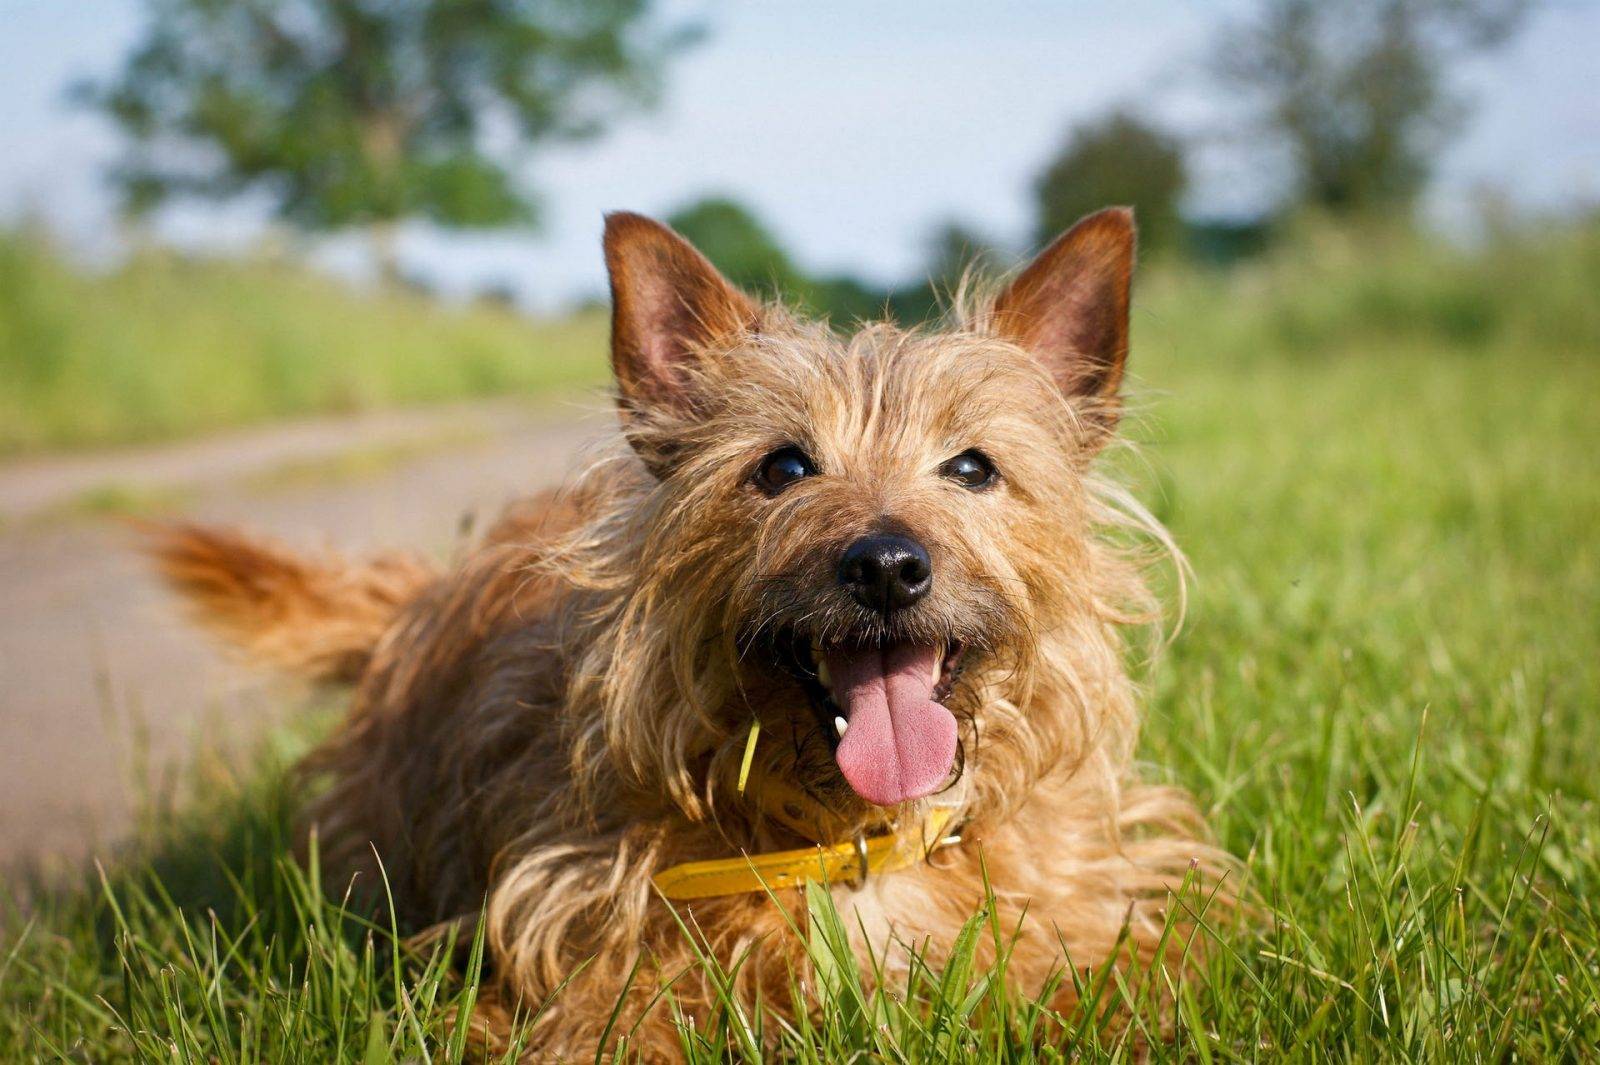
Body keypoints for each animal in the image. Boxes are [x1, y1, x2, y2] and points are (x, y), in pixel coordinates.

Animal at [150, 204, 1222, 1055]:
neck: (849, 839)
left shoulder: (1098, 915)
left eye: (972, 467)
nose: (885, 564)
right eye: (783, 467)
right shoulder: (582, 980)